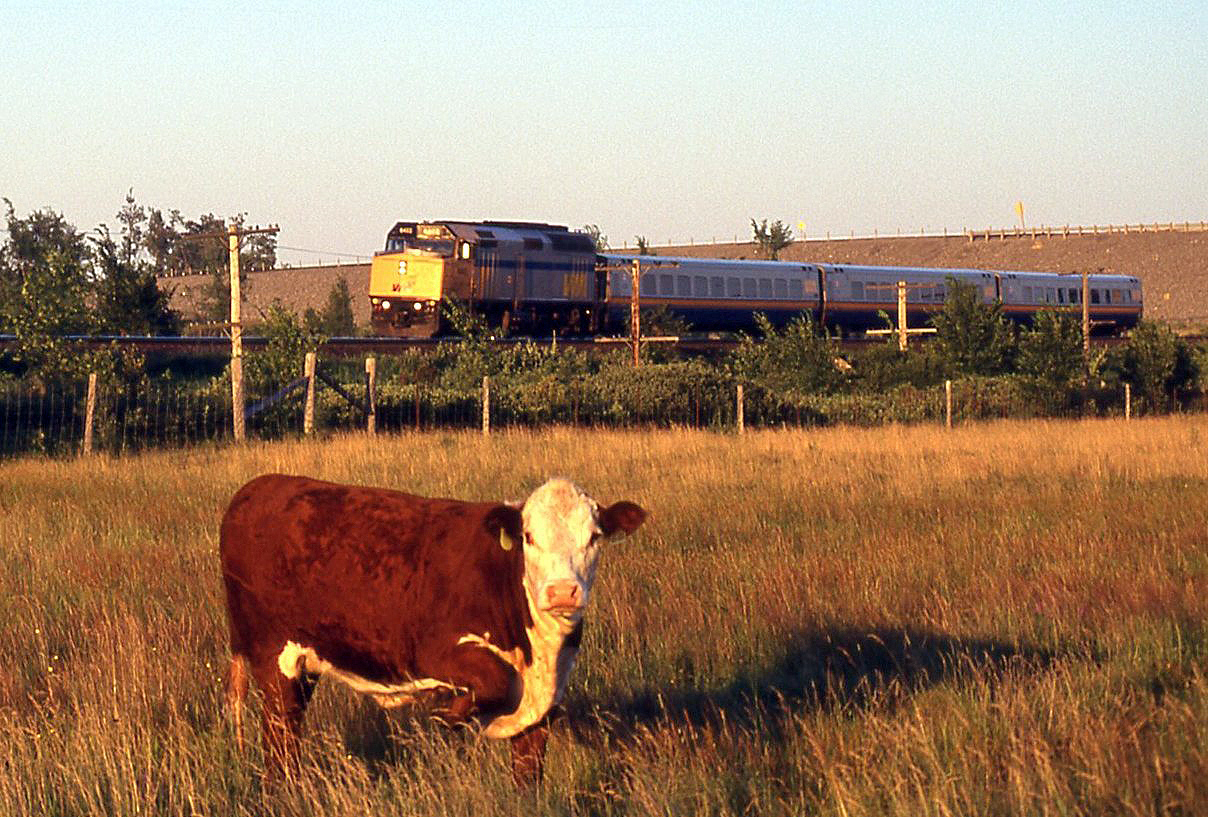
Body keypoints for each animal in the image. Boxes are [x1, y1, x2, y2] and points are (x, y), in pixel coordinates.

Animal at [219, 474, 646, 785]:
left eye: (594, 537)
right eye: (528, 537)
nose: (561, 591)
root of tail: (256, 487)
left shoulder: (544, 702)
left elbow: (528, 772)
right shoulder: (433, 650)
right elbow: (493, 680)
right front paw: (449, 714)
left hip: (304, 662)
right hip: (273, 655)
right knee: (279, 735)